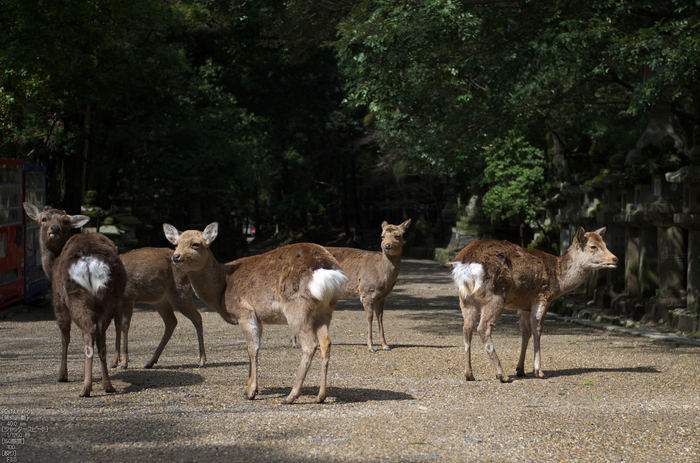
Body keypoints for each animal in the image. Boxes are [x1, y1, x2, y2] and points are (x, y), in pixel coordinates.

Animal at [22, 203, 127, 398]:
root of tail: (89, 261)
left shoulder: (57, 300)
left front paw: (62, 375)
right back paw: (107, 384)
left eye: (65, 221)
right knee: (100, 333)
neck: (51, 268)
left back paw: (86, 387)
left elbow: (65, 336)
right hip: (109, 296)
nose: (54, 229)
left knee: (89, 332)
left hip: (74, 296)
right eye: (44, 219)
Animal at [162, 223, 348, 404]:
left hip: (297, 307)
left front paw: (251, 392)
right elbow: (253, 348)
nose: (176, 256)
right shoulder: (259, 317)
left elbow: (252, 348)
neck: (221, 291)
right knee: (326, 342)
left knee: (310, 343)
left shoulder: (245, 311)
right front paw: (249, 388)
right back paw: (320, 396)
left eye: (196, 244)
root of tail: (326, 271)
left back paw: (290, 396)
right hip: (325, 311)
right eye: (176, 244)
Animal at [326, 219, 412, 354]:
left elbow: (380, 317)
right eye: (382, 236)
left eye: (398, 236)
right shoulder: (366, 293)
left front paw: (385, 345)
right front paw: (371, 347)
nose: (387, 246)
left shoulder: (382, 297)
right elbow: (370, 317)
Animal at [448, 227, 616, 384]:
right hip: (495, 295)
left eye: (605, 243)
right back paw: (503, 375)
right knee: (483, 328)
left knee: (467, 328)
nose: (615, 259)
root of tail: (465, 265)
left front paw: (520, 369)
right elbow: (537, 330)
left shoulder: (523, 305)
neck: (558, 281)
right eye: (593, 246)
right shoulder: (542, 297)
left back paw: (469, 374)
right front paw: (539, 371)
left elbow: (525, 332)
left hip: (466, 299)